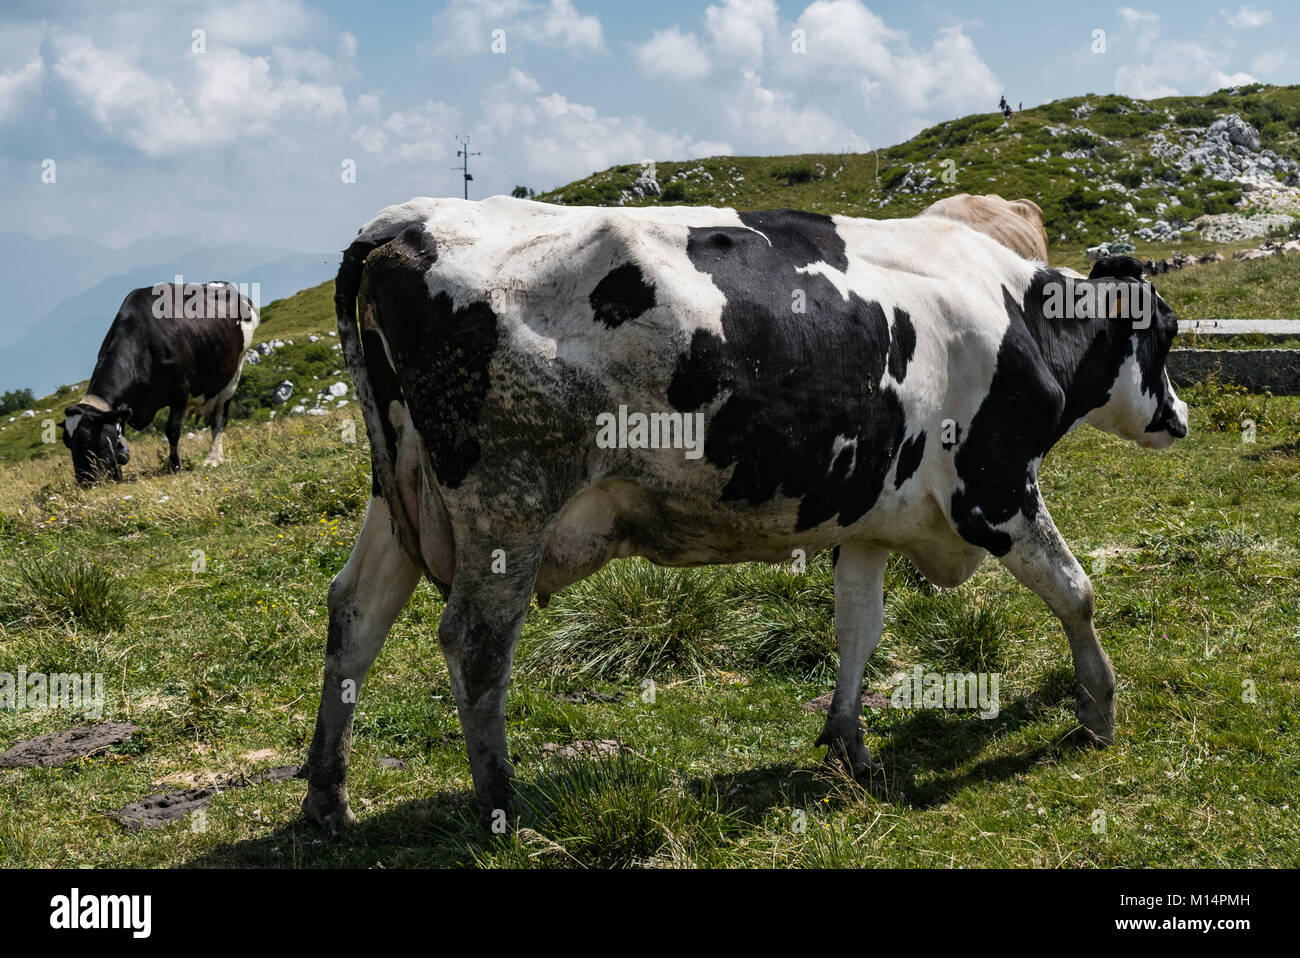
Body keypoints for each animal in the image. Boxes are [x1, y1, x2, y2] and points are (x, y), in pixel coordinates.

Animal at [62, 282, 259, 485]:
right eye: (67, 442)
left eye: (85, 439)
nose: (84, 481)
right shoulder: (121, 409)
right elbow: (117, 440)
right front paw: (117, 476)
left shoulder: (180, 392)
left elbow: (172, 430)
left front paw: (174, 466)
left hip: (233, 375)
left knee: (220, 419)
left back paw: (213, 458)